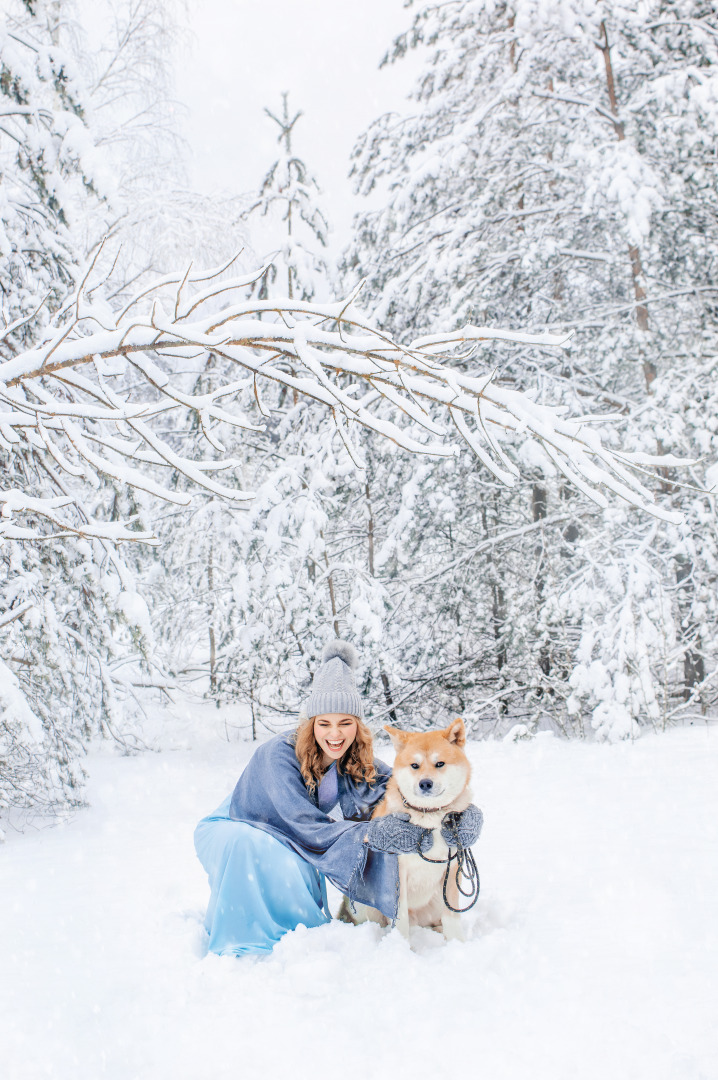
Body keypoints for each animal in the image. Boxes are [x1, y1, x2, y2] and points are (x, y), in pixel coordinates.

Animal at [343, 721, 475, 941]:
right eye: (415, 765)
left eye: (440, 764)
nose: (425, 783)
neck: (429, 819)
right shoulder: (396, 875)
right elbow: (399, 918)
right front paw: (400, 946)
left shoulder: (452, 868)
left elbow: (451, 917)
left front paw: (458, 942)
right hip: (364, 905)